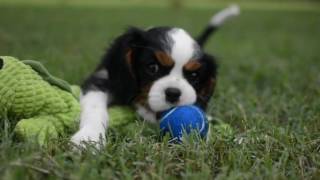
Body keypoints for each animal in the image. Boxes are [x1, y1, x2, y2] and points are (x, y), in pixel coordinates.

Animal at [70, 4, 240, 147]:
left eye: (193, 76)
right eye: (152, 67)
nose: (173, 93)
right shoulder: (99, 80)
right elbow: (95, 107)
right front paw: (88, 139)